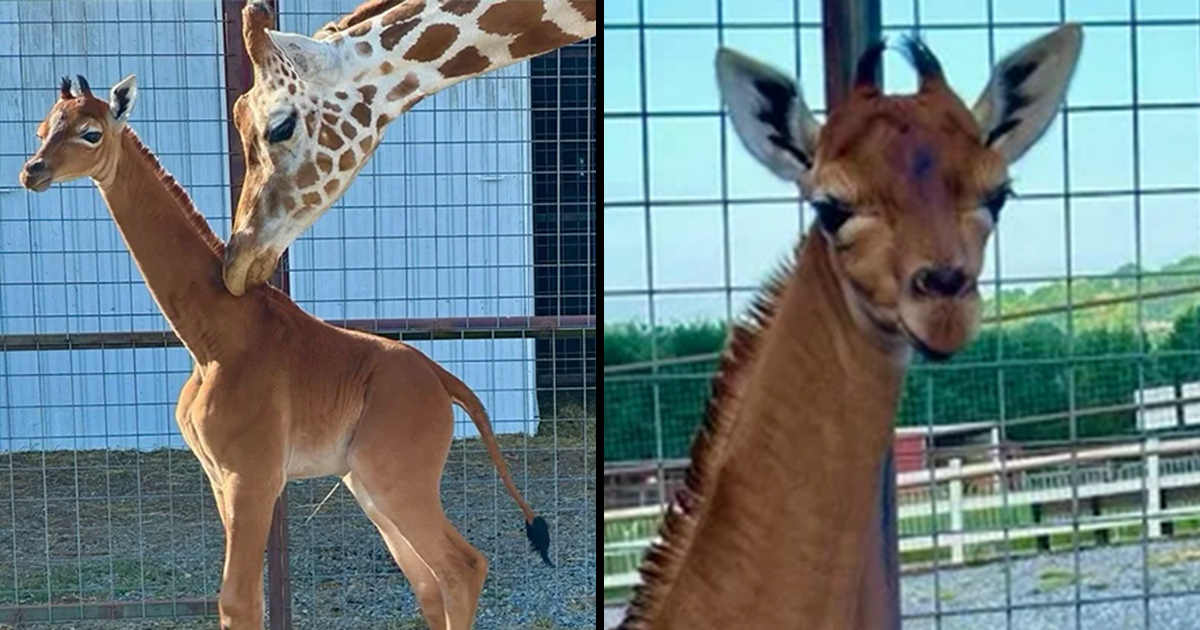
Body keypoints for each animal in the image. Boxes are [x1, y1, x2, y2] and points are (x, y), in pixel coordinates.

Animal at [16, 75, 549, 628]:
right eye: (42, 129)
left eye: (91, 133)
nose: (32, 171)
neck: (214, 338)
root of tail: (445, 381)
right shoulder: (220, 477)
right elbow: (249, 600)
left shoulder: (251, 474)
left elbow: (238, 599)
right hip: (368, 484)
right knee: (429, 581)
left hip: (396, 479)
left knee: (461, 566)